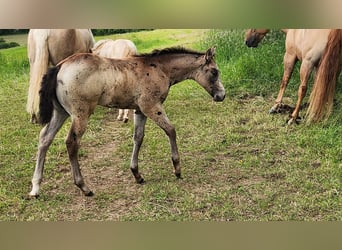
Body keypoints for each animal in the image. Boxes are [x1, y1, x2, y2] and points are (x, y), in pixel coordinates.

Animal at [28, 46, 226, 196]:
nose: (221, 96)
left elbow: (138, 137)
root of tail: (60, 66)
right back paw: (84, 187)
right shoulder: (151, 106)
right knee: (71, 142)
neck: (160, 69)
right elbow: (171, 130)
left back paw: (36, 187)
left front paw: (137, 174)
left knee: (44, 138)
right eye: (214, 72)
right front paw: (177, 169)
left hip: (60, 112)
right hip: (80, 113)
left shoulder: (139, 110)